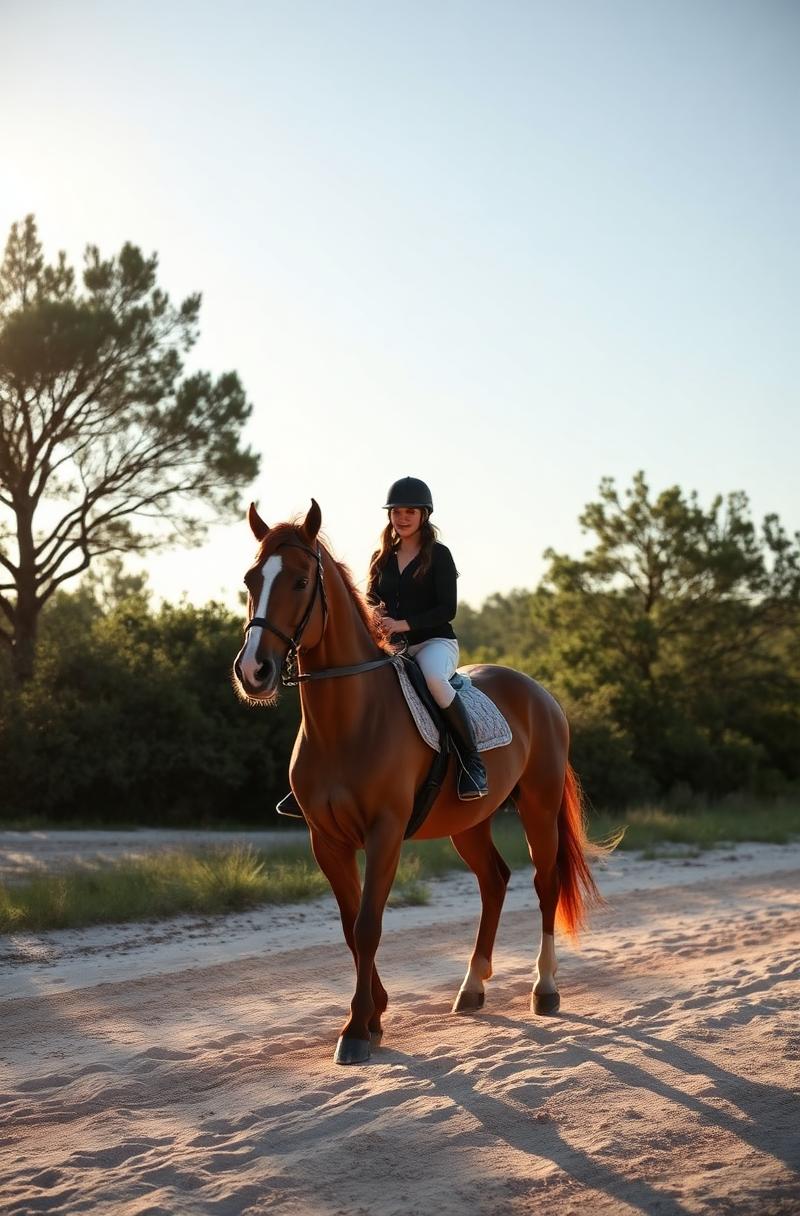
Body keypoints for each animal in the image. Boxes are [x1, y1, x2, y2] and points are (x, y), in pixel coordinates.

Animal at [233, 499, 610, 1065]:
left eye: (299, 581)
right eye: (252, 579)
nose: (254, 671)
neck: (348, 719)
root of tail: (540, 693)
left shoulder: (384, 833)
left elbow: (368, 925)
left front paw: (357, 1030)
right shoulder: (326, 840)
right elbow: (350, 926)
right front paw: (375, 1013)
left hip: (539, 808)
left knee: (545, 883)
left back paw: (544, 990)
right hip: (468, 823)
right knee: (494, 881)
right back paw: (472, 988)